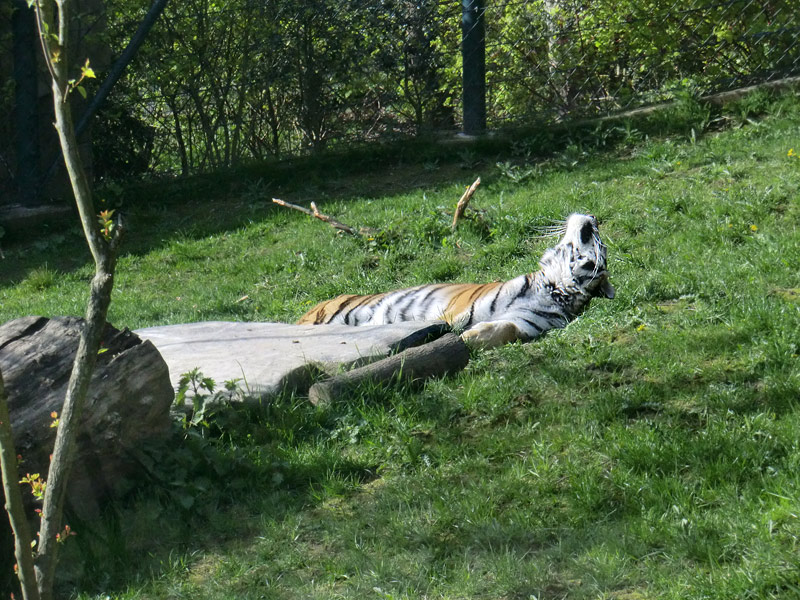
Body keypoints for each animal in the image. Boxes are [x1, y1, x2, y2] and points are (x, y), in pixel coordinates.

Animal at [296, 213, 616, 350]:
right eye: (594, 233)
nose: (593, 216)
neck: (554, 289)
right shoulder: (455, 311)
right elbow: (442, 328)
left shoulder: (525, 325)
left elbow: (506, 328)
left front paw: (472, 337)